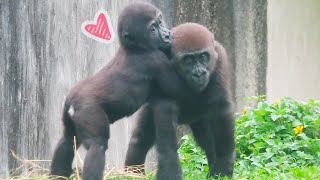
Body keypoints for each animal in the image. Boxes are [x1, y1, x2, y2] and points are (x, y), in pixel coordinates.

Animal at [50, 2, 192, 180]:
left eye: (160, 22)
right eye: (153, 29)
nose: (167, 35)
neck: (134, 47)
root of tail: (72, 101)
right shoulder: (154, 59)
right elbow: (180, 90)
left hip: (69, 114)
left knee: (67, 141)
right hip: (87, 109)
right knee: (97, 145)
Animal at [125, 22, 235, 179]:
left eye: (203, 56)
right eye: (188, 60)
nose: (199, 73)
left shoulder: (219, 58)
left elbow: (220, 110)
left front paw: (223, 166)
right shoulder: (157, 63)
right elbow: (165, 118)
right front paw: (170, 170)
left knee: (207, 139)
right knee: (140, 140)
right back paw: (131, 174)